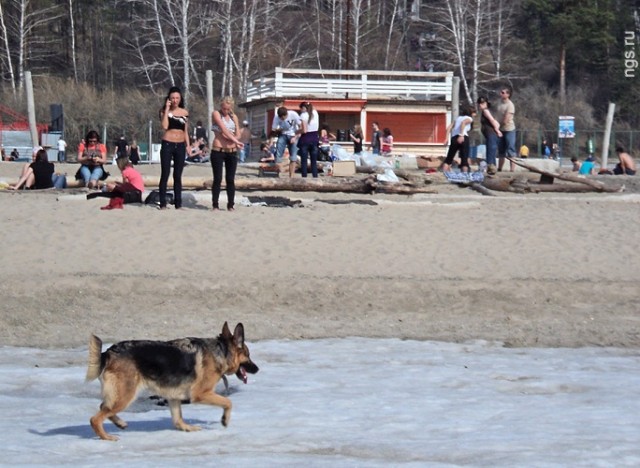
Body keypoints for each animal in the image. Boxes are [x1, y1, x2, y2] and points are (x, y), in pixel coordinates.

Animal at [86, 322, 258, 442]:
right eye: (248, 355)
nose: (257, 369)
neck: (222, 350)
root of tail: (108, 352)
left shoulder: (173, 397)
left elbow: (177, 419)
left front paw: (187, 428)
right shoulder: (201, 394)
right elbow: (228, 402)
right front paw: (224, 420)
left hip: (120, 396)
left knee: (103, 407)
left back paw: (120, 423)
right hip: (126, 396)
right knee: (95, 418)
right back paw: (106, 437)